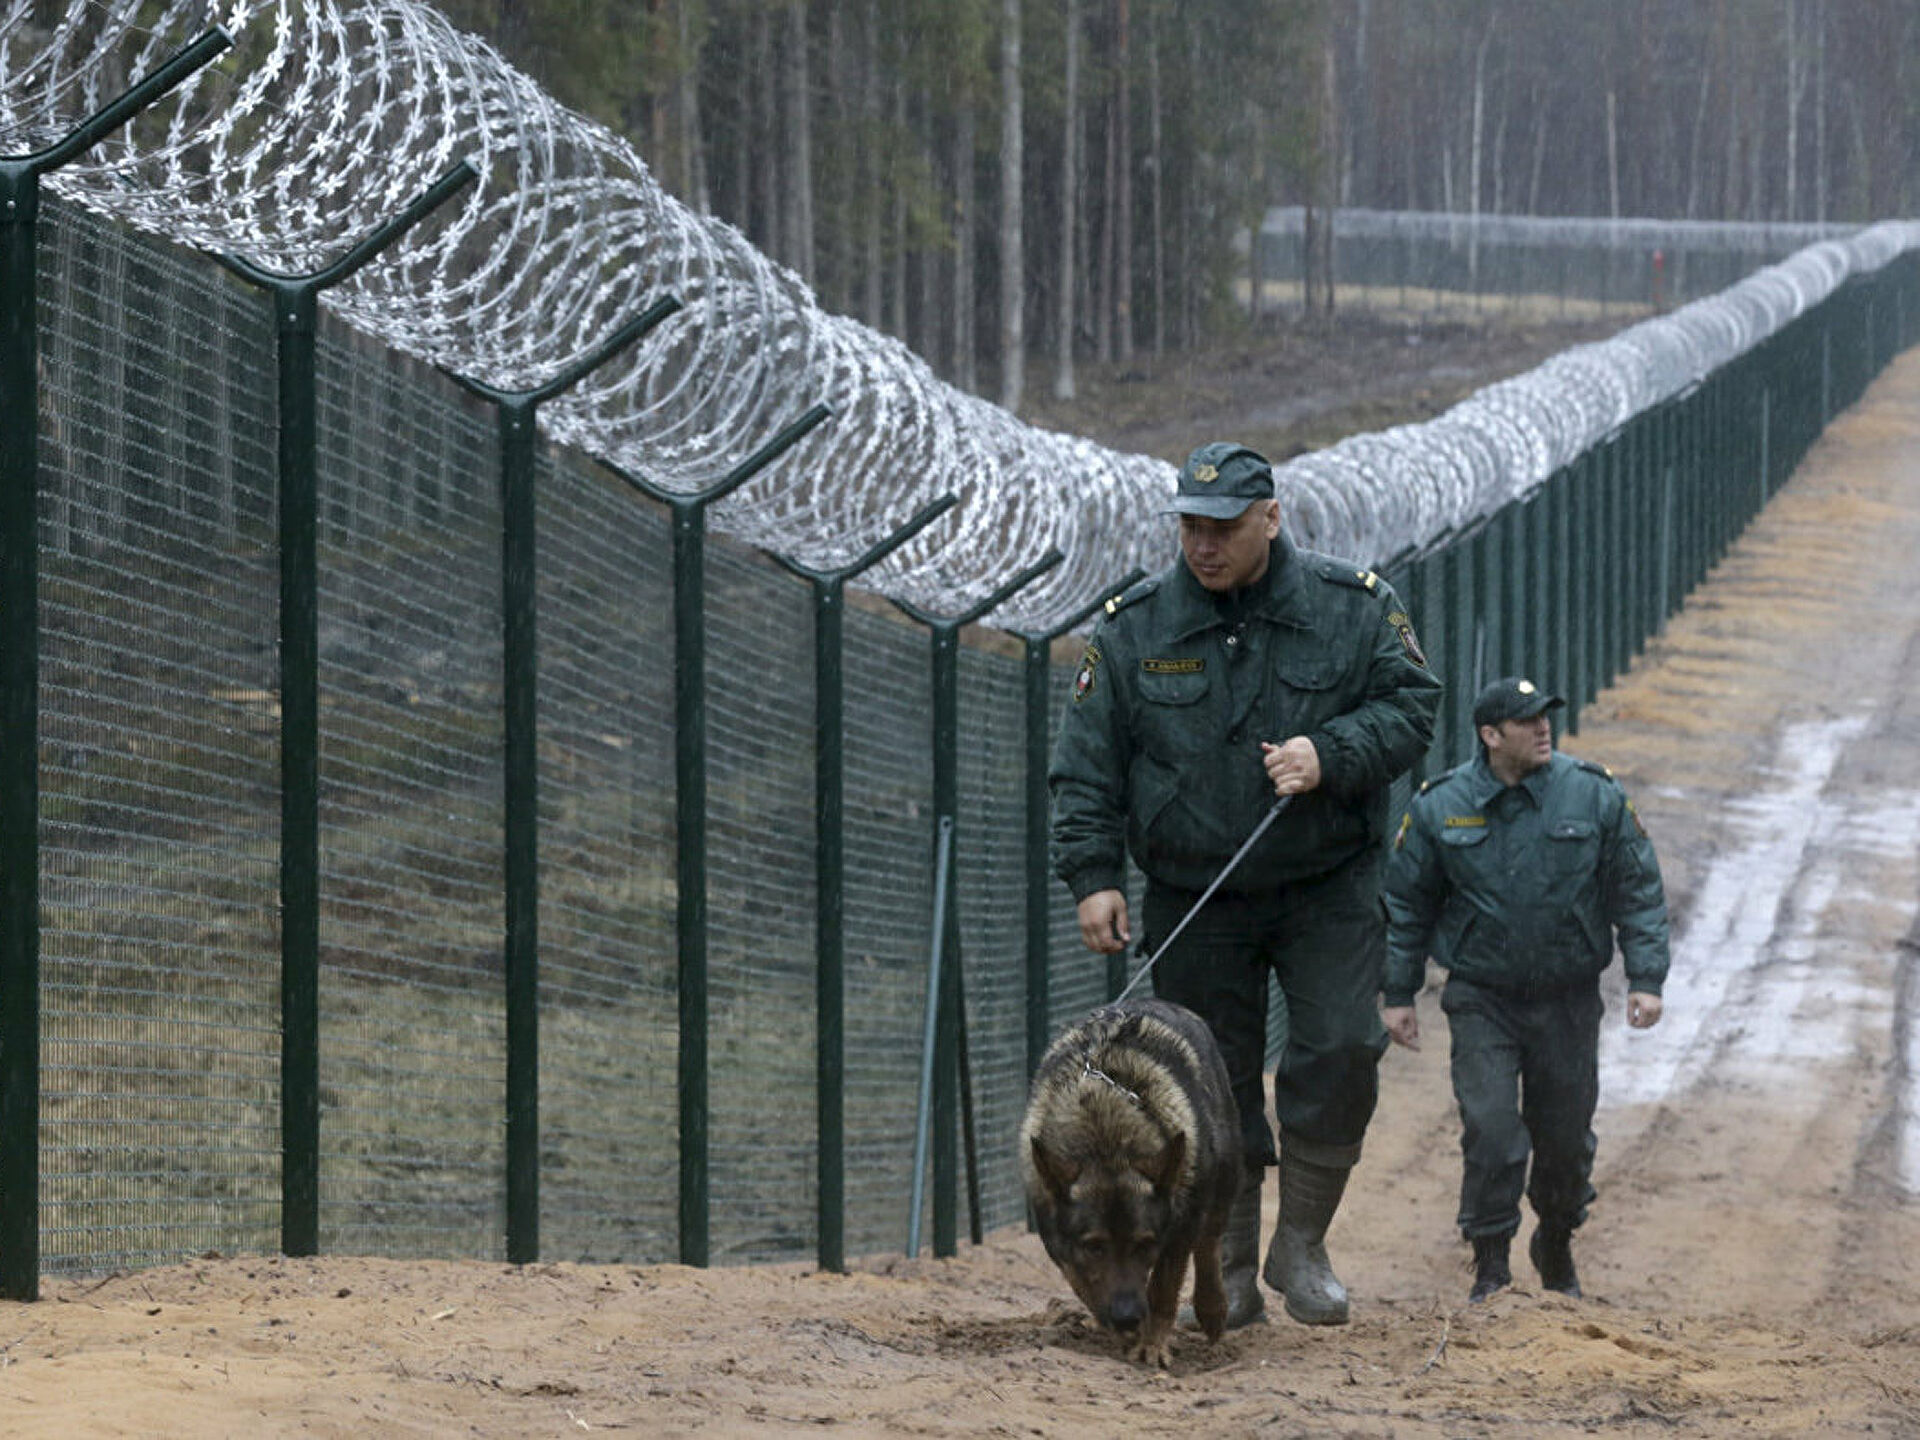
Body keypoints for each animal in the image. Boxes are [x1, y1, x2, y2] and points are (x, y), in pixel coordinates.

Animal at [1021, 998, 1244, 1367]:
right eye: (1094, 1247)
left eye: (1144, 1245)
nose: (1126, 1317)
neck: (1106, 1140)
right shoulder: (1062, 1247)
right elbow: (1084, 1282)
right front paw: (1123, 1332)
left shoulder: (1177, 1232)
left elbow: (1163, 1290)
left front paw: (1151, 1344)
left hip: (1221, 1179)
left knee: (1209, 1245)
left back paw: (1212, 1309)